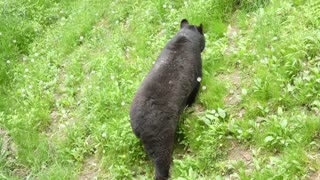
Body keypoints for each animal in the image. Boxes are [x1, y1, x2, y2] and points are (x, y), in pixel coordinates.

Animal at [130, 19, 205, 179]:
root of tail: (138, 127)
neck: (184, 38)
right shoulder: (197, 66)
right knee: (162, 159)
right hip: (160, 133)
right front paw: (191, 103)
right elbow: (195, 87)